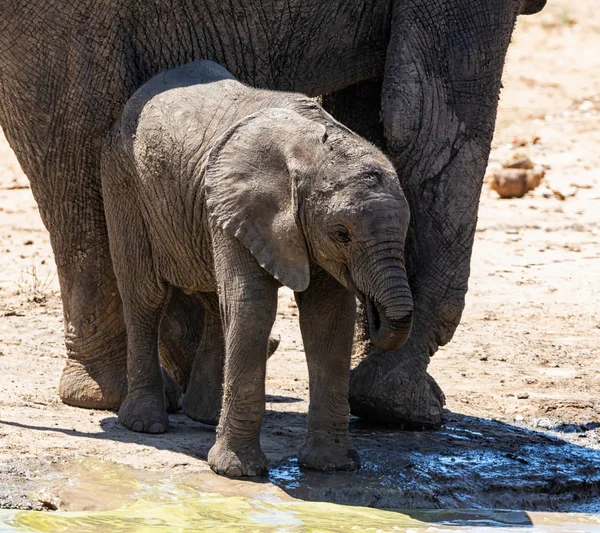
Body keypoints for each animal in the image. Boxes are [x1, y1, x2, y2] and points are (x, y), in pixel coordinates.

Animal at [0, 0, 544, 426]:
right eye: (341, 233)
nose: (376, 313)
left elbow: (376, 118)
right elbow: (424, 121)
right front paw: (405, 407)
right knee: (76, 128)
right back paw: (128, 398)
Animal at [102, 60, 412, 476]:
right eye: (342, 234)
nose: (376, 312)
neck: (313, 153)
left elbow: (329, 320)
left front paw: (331, 466)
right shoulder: (239, 203)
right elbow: (253, 307)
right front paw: (236, 473)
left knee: (214, 298)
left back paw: (205, 416)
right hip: (124, 181)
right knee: (146, 295)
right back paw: (145, 424)